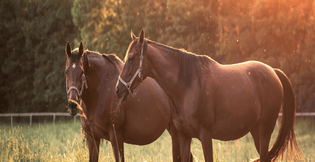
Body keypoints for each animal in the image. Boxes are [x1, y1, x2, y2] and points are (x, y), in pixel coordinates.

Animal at [64, 41, 193, 161]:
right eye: (66, 72)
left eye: (82, 72)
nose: (73, 104)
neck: (101, 91)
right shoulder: (92, 138)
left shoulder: (116, 136)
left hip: (176, 133)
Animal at [116, 30, 304, 161]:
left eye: (131, 58)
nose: (118, 89)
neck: (188, 86)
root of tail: (273, 71)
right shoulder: (184, 137)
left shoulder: (206, 137)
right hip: (256, 131)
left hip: (265, 131)